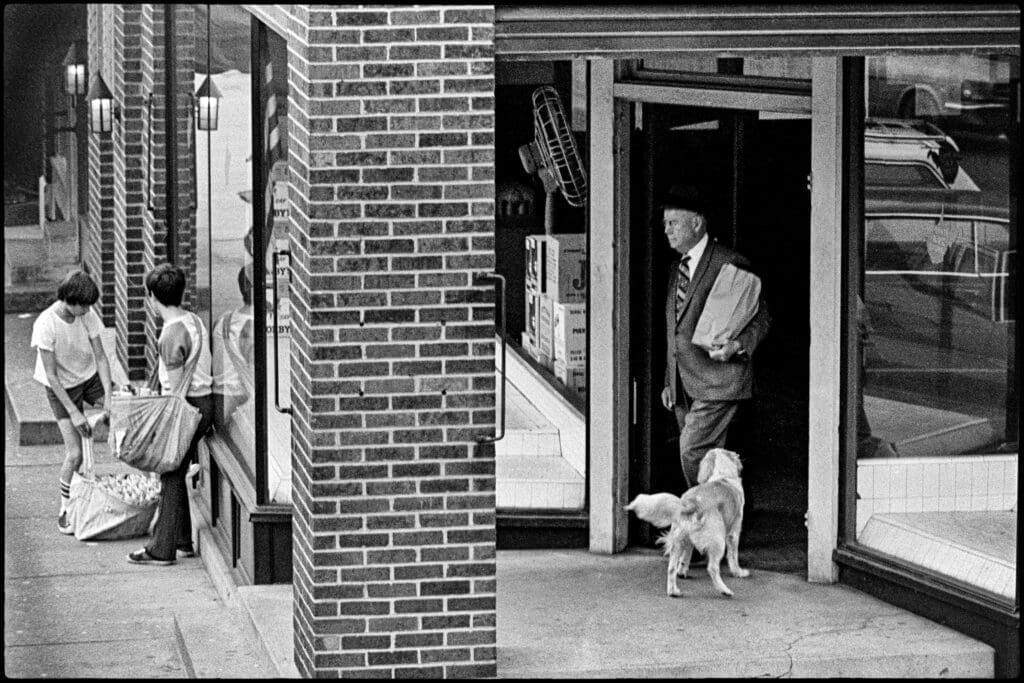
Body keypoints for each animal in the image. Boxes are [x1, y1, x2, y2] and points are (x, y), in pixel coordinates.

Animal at [618, 448, 749, 598]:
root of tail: (692, 503)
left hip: (678, 541)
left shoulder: (688, 540)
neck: (723, 476)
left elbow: (686, 556)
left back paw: (673, 591)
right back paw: (725, 590)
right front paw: (739, 572)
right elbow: (733, 556)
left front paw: (683, 571)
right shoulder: (734, 533)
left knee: (671, 568)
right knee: (712, 568)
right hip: (718, 541)